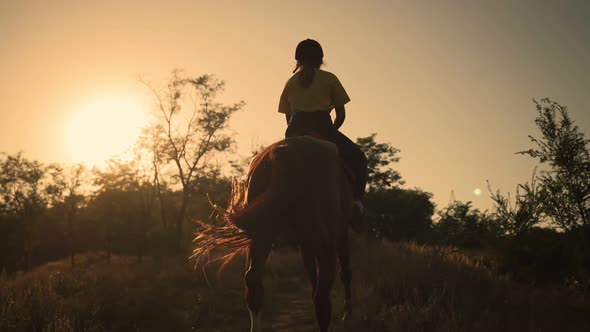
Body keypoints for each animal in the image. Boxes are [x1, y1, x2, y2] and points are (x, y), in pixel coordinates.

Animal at [192, 136, 354, 332]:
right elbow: (343, 271)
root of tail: (286, 153)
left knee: (253, 284)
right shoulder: (338, 232)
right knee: (323, 295)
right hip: (324, 242)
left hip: (261, 237)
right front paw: (347, 314)